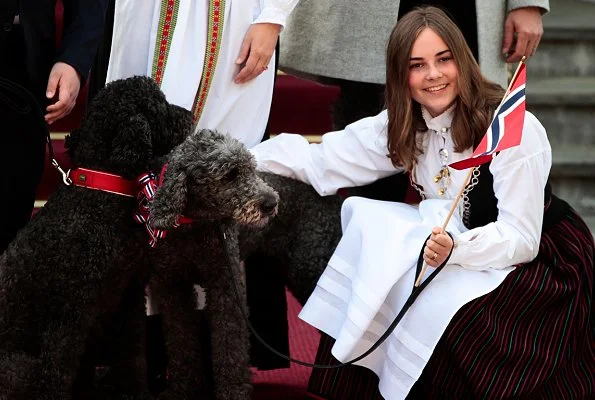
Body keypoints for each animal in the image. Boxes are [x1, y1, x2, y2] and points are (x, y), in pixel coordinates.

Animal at [0, 76, 193, 400]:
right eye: (161, 105)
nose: (190, 116)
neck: (100, 194)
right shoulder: (70, 315)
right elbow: (57, 374)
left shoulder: (127, 297)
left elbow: (133, 358)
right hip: (20, 366)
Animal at [146, 130, 278, 398]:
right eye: (230, 175)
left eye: (251, 168)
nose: (271, 203)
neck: (193, 226)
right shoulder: (172, 285)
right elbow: (180, 337)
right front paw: (183, 387)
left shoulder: (225, 284)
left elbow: (230, 339)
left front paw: (233, 389)